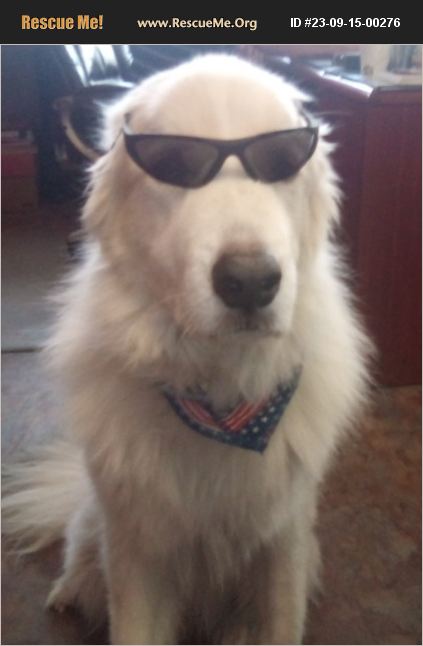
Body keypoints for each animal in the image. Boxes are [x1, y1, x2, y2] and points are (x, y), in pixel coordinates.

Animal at [3, 54, 371, 644]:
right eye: (173, 162)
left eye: (282, 160)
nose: (249, 282)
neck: (220, 396)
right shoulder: (137, 555)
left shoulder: (283, 548)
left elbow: (281, 621)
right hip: (98, 520)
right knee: (80, 553)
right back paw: (65, 594)